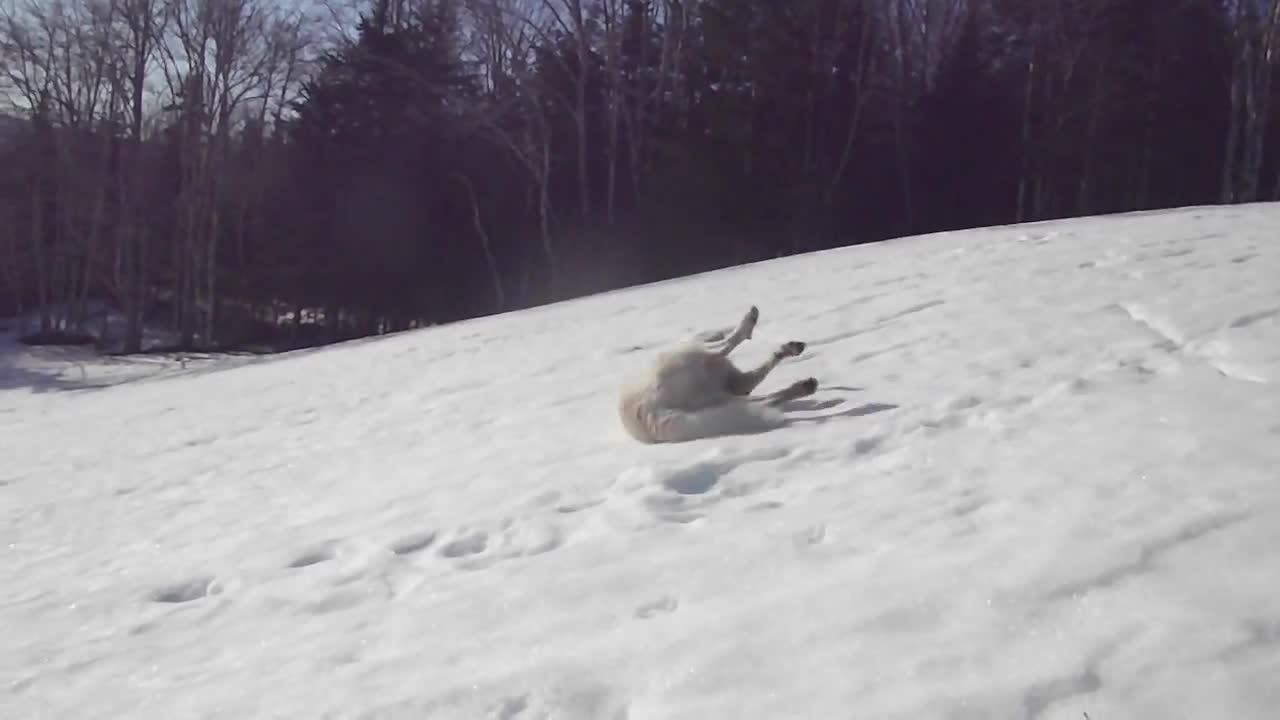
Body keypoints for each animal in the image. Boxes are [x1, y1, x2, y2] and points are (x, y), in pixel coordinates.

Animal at [619, 303, 819, 443]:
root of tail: (645, 413)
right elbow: (728, 345)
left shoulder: (736, 383)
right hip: (688, 358)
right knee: (725, 348)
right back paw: (750, 320)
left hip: (713, 399)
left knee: (762, 399)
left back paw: (803, 384)